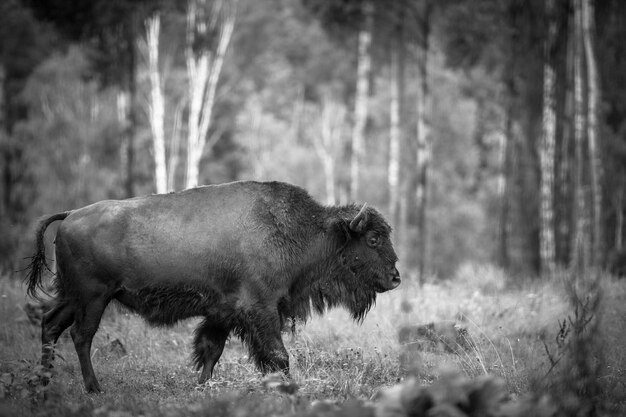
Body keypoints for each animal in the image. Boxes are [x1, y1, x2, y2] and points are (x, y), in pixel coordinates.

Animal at [25, 180, 400, 392]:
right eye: (373, 239)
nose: (396, 277)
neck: (300, 231)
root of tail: (70, 214)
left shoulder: (223, 312)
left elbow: (211, 351)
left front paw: (204, 387)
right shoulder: (260, 308)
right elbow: (278, 355)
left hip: (72, 297)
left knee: (51, 325)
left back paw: (43, 383)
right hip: (94, 298)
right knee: (80, 335)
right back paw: (93, 389)